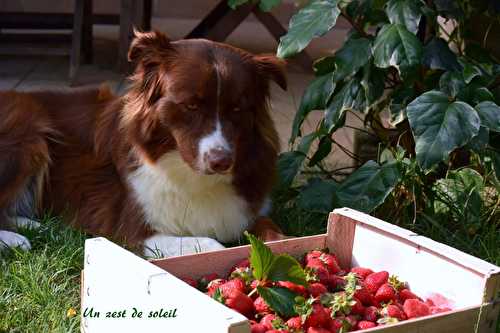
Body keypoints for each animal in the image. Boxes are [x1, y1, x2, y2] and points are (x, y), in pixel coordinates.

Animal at [0, 29, 286, 255]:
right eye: (191, 105)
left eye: (237, 109)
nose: (221, 162)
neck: (189, 174)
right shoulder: (133, 228)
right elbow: (210, 244)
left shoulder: (251, 210)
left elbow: (276, 234)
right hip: (27, 130)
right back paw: (16, 240)